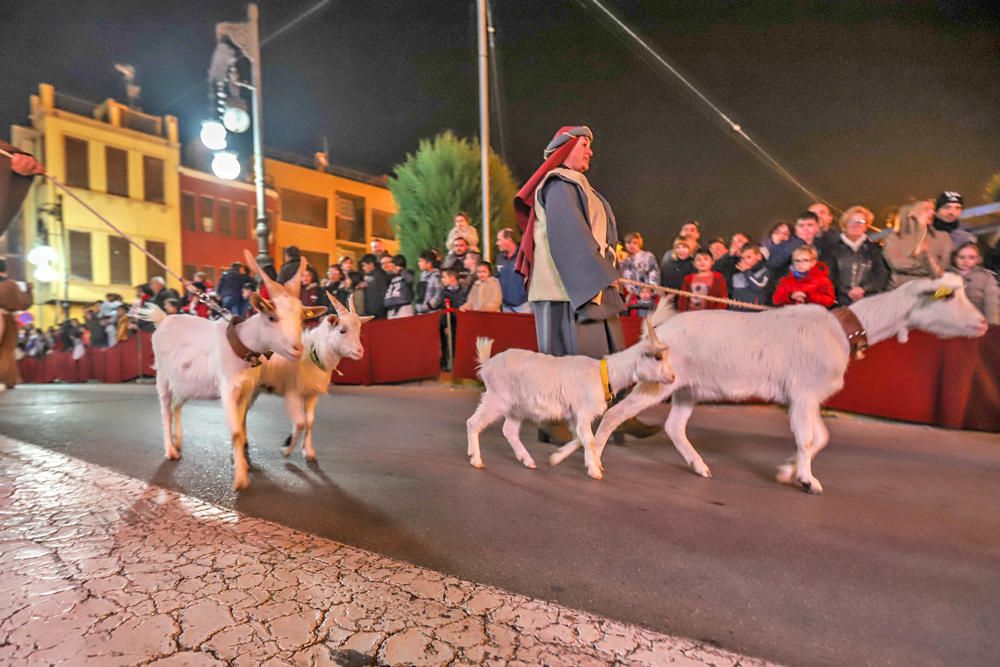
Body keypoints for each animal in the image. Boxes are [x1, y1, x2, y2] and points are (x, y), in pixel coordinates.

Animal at [141, 250, 326, 490]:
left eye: (302, 318)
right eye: (271, 317)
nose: (297, 349)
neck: (240, 345)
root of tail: (162, 320)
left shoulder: (246, 390)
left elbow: (242, 425)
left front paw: (242, 464)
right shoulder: (228, 389)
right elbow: (237, 431)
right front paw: (240, 478)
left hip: (186, 384)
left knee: (176, 406)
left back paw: (179, 441)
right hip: (163, 377)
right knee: (165, 410)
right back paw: (171, 451)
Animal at [258, 294, 372, 462]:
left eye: (359, 330)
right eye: (342, 330)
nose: (360, 352)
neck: (312, 353)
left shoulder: (311, 394)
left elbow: (310, 421)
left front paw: (309, 451)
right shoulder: (293, 393)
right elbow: (300, 423)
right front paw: (286, 448)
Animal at [466, 320, 672, 480]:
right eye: (657, 357)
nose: (673, 377)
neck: (603, 374)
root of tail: (487, 364)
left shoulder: (574, 414)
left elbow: (581, 438)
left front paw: (557, 458)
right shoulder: (583, 411)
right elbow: (588, 439)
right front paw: (594, 471)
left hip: (517, 407)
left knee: (509, 430)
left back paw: (527, 460)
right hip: (497, 398)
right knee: (473, 423)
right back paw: (476, 459)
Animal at [560, 272, 988, 496]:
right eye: (947, 296)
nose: (984, 323)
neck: (843, 329)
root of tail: (660, 329)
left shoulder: (806, 397)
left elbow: (819, 438)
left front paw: (789, 470)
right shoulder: (804, 393)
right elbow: (809, 437)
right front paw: (807, 479)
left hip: (687, 388)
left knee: (674, 427)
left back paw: (699, 467)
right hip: (657, 384)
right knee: (615, 413)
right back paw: (594, 461)